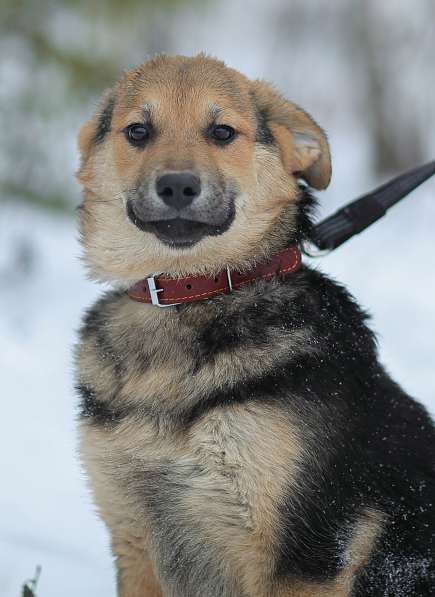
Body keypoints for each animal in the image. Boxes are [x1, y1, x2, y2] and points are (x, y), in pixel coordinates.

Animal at [76, 53, 435, 592]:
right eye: (138, 131)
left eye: (222, 132)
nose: (177, 186)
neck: (194, 292)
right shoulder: (133, 538)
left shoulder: (300, 556)